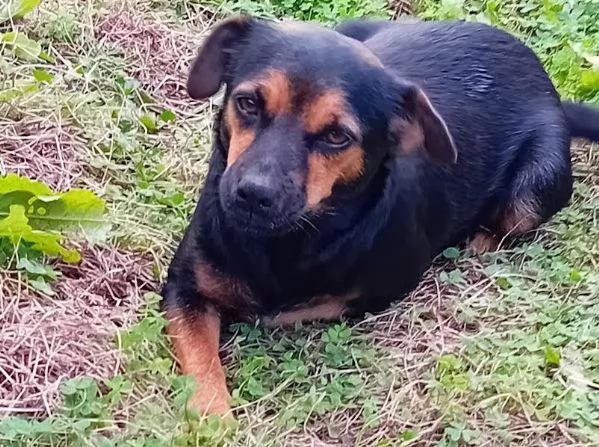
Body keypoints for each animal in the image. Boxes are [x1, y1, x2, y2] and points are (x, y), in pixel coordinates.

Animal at [161, 16, 599, 416]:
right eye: (248, 103)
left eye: (337, 136)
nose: (253, 194)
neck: (286, 242)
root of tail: (547, 88)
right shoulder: (183, 288)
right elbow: (201, 363)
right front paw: (213, 415)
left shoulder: (383, 289)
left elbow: (297, 308)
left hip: (537, 184)